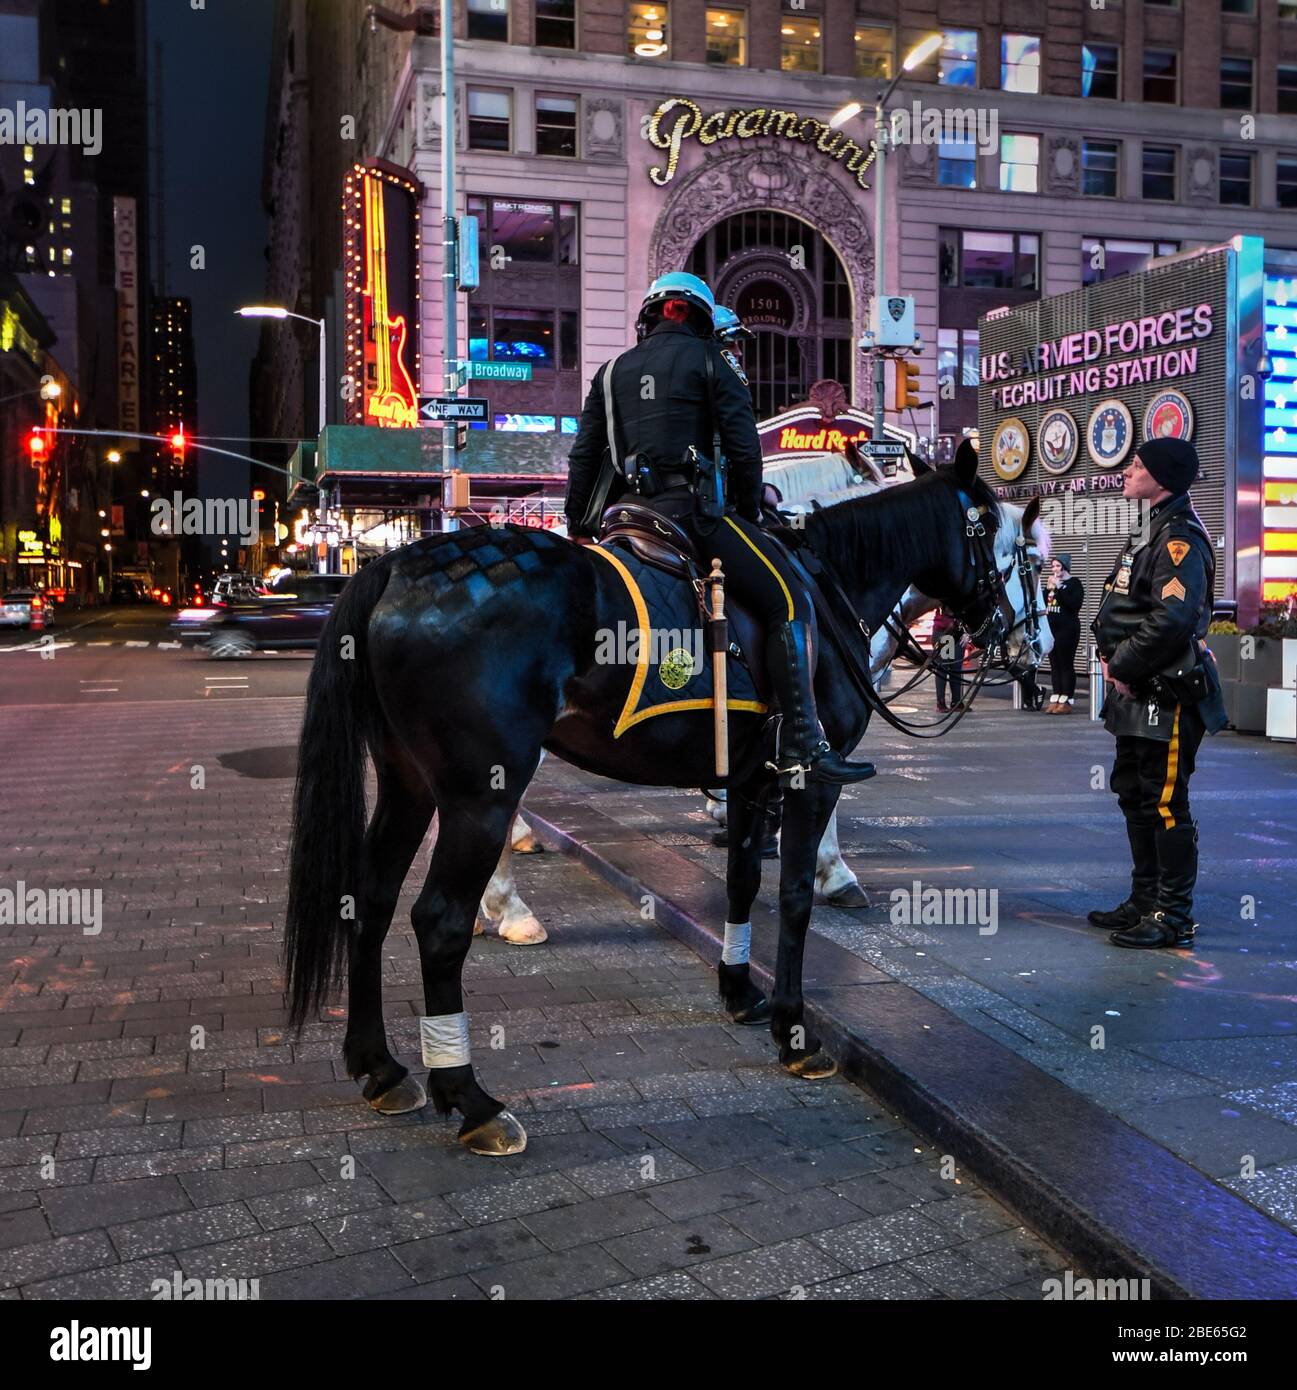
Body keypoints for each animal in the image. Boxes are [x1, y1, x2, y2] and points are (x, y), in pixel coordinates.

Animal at [283, 453, 1034, 1150]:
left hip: (407, 781)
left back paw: (380, 1067)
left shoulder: (750, 781)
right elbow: (793, 897)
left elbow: (741, 880)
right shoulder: (809, 777)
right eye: (1009, 542)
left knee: (369, 900)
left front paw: (740, 991)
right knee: (439, 921)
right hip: (480, 790)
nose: (1019, 641)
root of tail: (394, 567)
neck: (831, 588)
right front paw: (795, 1028)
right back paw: (472, 1096)